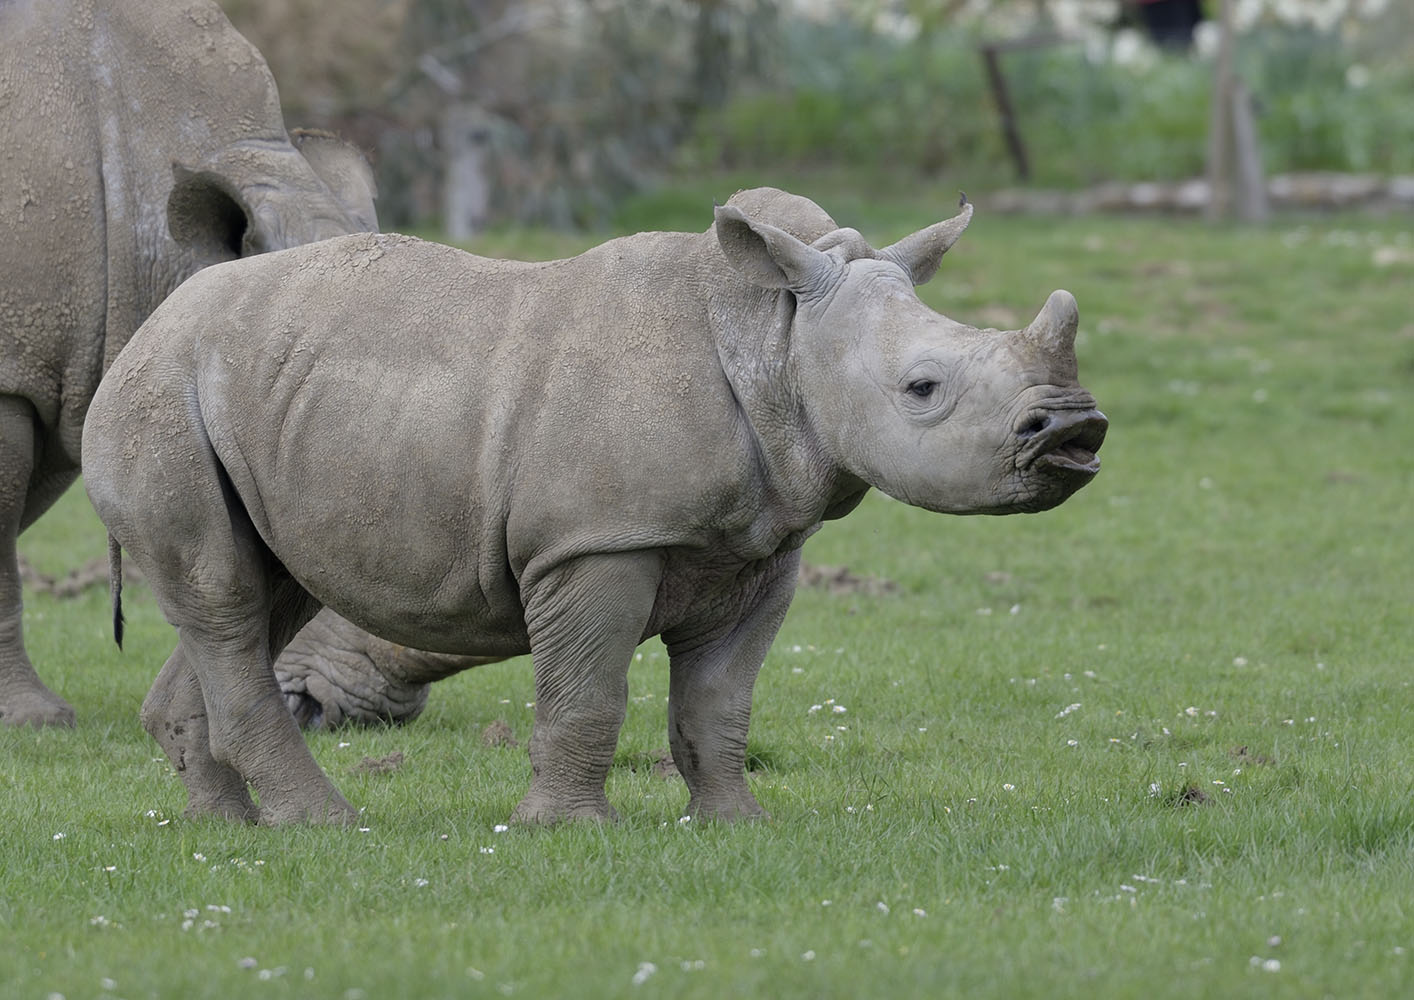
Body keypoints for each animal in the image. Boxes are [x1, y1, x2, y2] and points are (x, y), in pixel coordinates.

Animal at [82, 187, 1107, 826]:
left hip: (261, 404)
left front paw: (735, 824)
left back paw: (227, 828)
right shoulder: (592, 543)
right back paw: (326, 825)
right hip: (160, 396)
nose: (1078, 429)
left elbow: (720, 699)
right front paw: (568, 830)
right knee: (225, 595)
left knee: (262, 591)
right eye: (923, 389)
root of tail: (153, 323)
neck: (773, 335)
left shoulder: (762, 548)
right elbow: (589, 690)